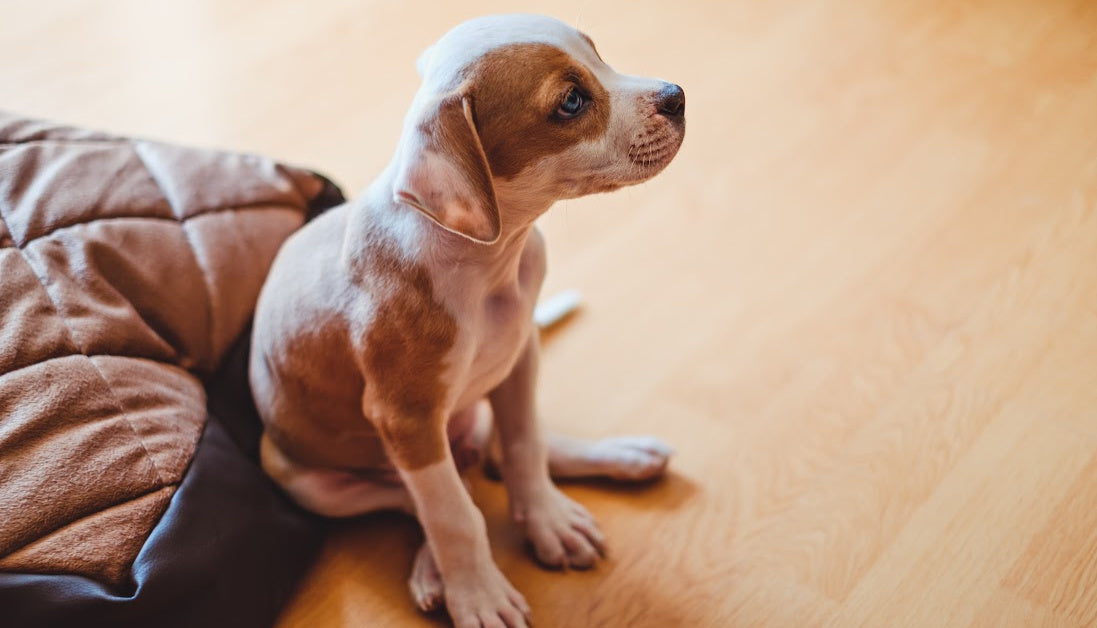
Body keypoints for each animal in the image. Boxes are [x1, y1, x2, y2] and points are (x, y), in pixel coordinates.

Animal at [251, 14, 684, 628]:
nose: (677, 97)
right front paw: (477, 592)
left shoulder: (519, 357)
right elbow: (453, 513)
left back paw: (620, 455)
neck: (487, 264)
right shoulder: (406, 418)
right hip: (302, 477)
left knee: (501, 450)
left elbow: (525, 444)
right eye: (571, 102)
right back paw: (435, 570)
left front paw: (547, 520)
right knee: (416, 496)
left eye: (598, 56)